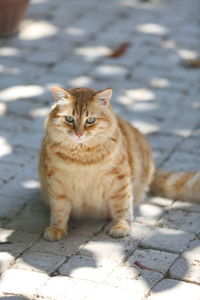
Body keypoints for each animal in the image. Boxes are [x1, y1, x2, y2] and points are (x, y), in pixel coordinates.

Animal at [39, 86, 200, 241]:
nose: (79, 134)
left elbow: (122, 208)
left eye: (90, 120)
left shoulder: (119, 182)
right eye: (69, 119)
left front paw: (121, 227)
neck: (82, 159)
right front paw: (57, 229)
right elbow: (59, 210)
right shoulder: (56, 184)